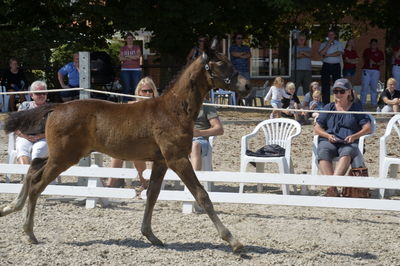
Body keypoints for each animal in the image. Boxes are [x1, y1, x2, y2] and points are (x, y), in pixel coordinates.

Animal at [0, 39, 250, 251]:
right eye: (221, 63)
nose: (247, 85)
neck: (173, 110)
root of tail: (57, 107)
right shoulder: (177, 159)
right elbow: (201, 194)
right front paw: (233, 240)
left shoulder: (161, 161)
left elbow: (152, 194)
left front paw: (151, 235)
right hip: (64, 157)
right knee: (37, 183)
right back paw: (29, 232)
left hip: (61, 155)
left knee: (34, 166)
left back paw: (11, 208)